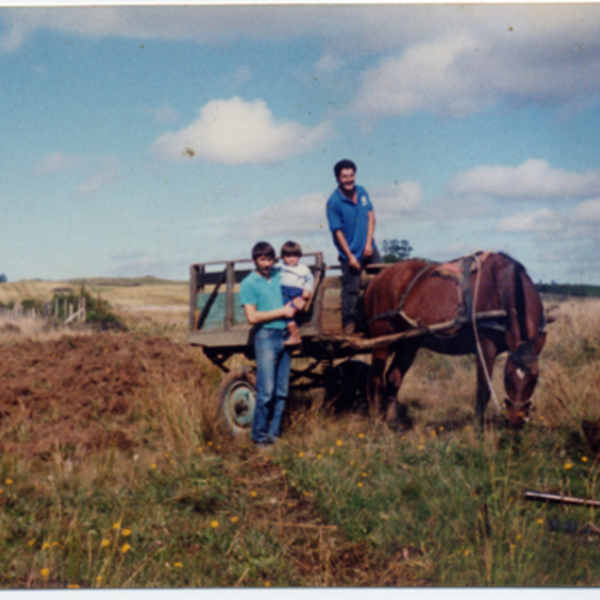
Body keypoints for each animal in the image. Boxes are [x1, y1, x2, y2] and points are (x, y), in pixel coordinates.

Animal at [364, 251, 548, 428]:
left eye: (535, 378)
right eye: (507, 376)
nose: (515, 419)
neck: (500, 288)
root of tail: (379, 277)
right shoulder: (485, 346)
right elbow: (483, 389)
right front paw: (478, 429)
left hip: (408, 344)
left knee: (393, 377)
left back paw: (392, 421)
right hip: (381, 339)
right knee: (375, 377)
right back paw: (376, 420)